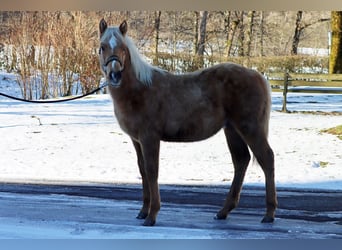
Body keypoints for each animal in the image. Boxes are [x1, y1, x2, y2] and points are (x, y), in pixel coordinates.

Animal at [97, 19, 276, 227]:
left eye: (123, 48)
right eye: (102, 47)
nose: (115, 75)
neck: (139, 90)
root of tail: (258, 75)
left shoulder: (150, 138)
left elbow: (152, 171)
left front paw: (152, 215)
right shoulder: (137, 140)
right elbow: (143, 170)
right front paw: (143, 211)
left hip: (250, 129)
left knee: (267, 159)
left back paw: (269, 213)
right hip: (232, 130)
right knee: (241, 161)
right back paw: (223, 212)